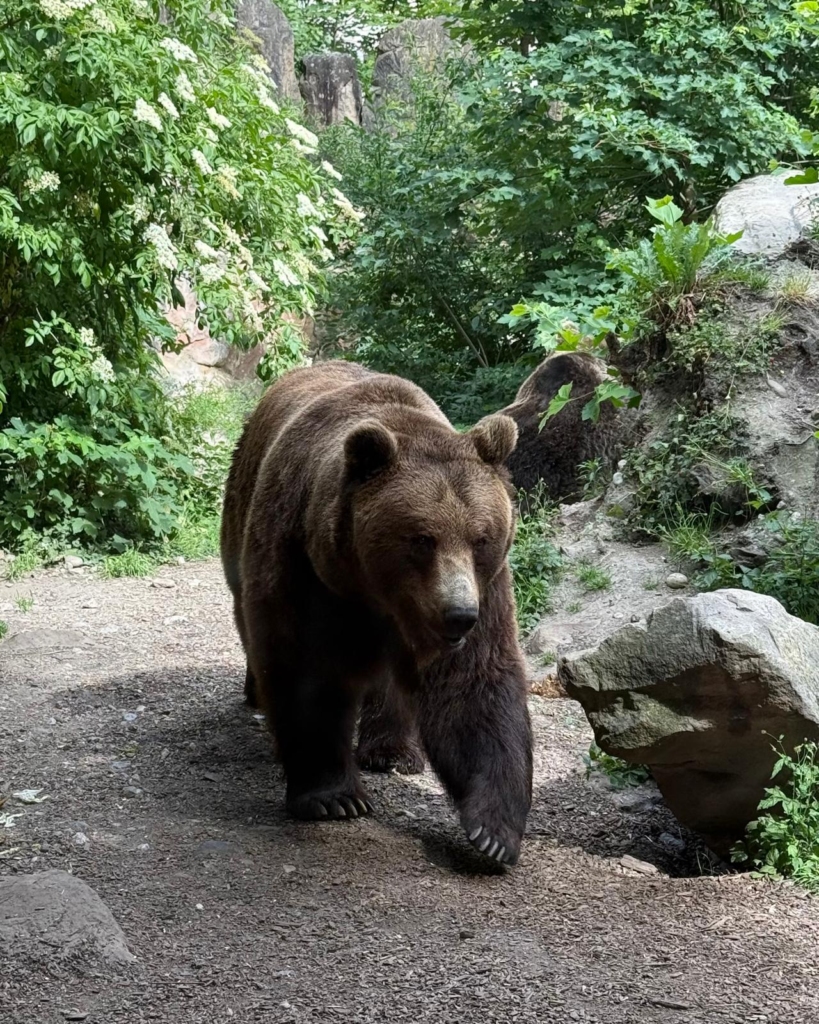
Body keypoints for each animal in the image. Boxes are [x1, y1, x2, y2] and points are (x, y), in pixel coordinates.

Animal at [221, 360, 532, 865]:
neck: (374, 593)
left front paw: (493, 833)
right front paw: (334, 796)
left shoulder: (486, 591)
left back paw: (391, 751)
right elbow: (305, 669)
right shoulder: (302, 562)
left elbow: (475, 683)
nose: (458, 615)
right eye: (422, 538)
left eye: (481, 537)